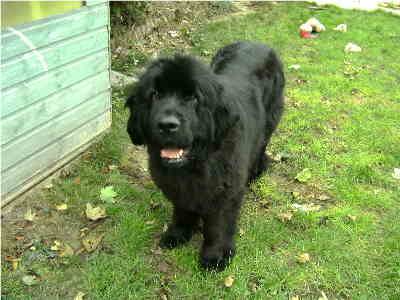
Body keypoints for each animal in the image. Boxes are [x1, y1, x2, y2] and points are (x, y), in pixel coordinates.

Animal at [125, 41, 284, 270]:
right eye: (155, 94)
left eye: (192, 97)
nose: (167, 125)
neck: (195, 164)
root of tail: (259, 43)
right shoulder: (179, 189)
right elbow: (182, 210)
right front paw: (177, 234)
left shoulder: (225, 192)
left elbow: (218, 225)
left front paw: (214, 257)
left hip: (270, 121)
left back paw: (256, 171)